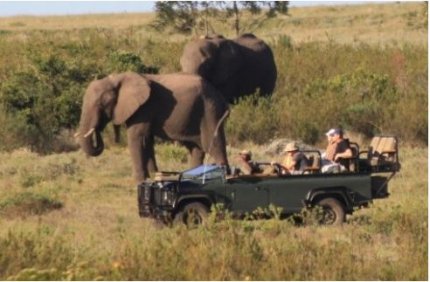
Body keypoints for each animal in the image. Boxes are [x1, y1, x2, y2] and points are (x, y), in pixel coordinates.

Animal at [77, 71, 232, 184]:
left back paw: (225, 179)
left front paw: (140, 182)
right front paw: (153, 177)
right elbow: (147, 141)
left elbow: (136, 138)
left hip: (210, 111)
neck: (117, 78)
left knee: (214, 145)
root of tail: (221, 97)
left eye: (102, 103)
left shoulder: (144, 108)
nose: (97, 128)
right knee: (196, 148)